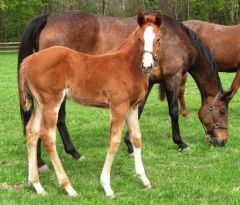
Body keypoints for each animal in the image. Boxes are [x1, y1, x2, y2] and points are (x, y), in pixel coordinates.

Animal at [17, 12, 162, 197]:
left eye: (158, 39)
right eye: (139, 38)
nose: (147, 65)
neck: (128, 66)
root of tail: (27, 61)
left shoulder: (132, 107)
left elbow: (136, 138)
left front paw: (144, 180)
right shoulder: (118, 107)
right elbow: (114, 141)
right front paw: (106, 186)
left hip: (39, 104)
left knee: (32, 131)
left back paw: (37, 186)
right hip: (52, 102)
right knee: (48, 136)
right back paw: (68, 187)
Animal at [19, 10, 234, 170]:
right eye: (223, 111)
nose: (223, 141)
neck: (177, 39)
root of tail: (48, 17)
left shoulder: (148, 83)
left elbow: (137, 112)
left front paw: (130, 144)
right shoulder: (172, 78)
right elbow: (173, 112)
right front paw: (180, 143)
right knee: (52, 121)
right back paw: (51, 159)